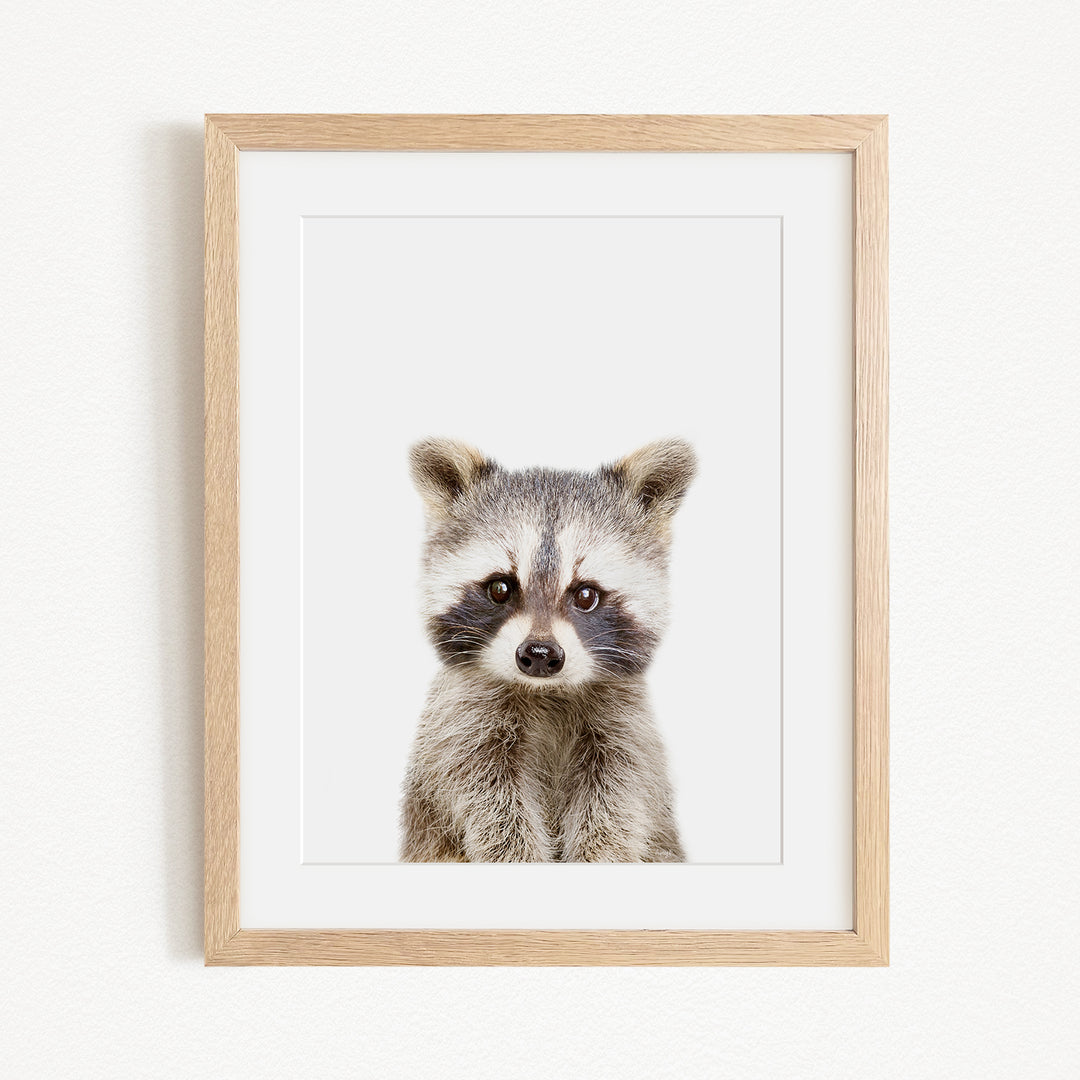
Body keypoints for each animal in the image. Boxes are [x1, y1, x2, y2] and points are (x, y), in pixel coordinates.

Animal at [399, 437, 695, 863]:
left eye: (586, 595)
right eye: (500, 588)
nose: (539, 655)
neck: (546, 692)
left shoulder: (626, 728)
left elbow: (621, 795)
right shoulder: (461, 722)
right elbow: (485, 797)